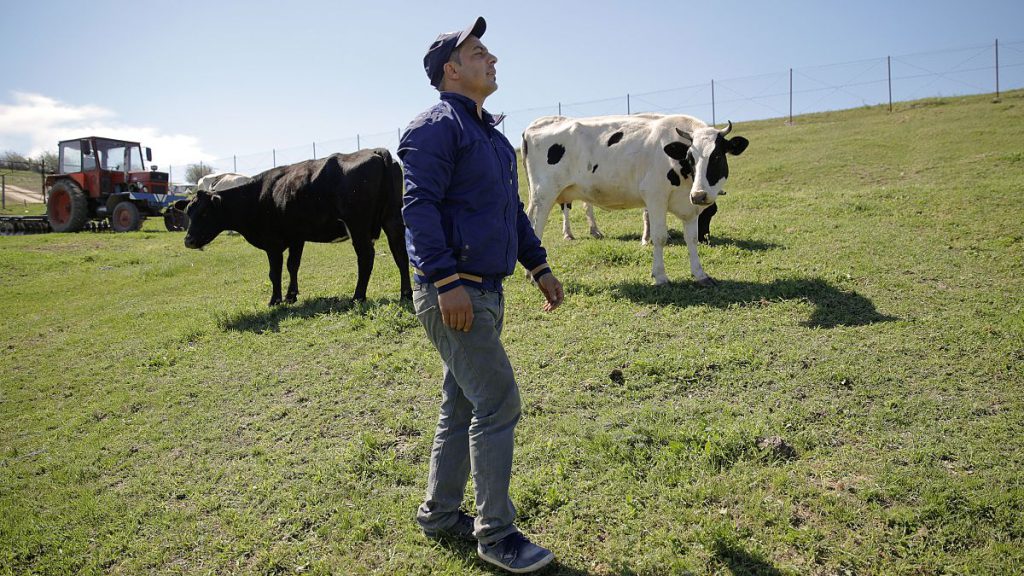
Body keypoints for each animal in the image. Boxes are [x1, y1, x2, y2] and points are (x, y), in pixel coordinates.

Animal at [176, 147, 411, 305]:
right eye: (188, 212)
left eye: (205, 213)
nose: (188, 241)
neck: (256, 196)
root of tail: (375, 151)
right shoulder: (297, 237)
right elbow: (293, 265)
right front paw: (291, 295)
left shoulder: (272, 242)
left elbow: (275, 272)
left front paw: (275, 300)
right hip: (392, 217)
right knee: (400, 253)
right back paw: (405, 294)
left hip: (358, 225)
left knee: (366, 257)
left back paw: (358, 296)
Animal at [524, 113, 749, 284]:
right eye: (690, 157)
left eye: (717, 156)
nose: (699, 195)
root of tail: (536, 124)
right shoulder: (655, 196)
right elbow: (659, 237)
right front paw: (660, 277)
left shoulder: (689, 206)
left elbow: (691, 239)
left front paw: (700, 274)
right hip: (545, 194)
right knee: (536, 227)